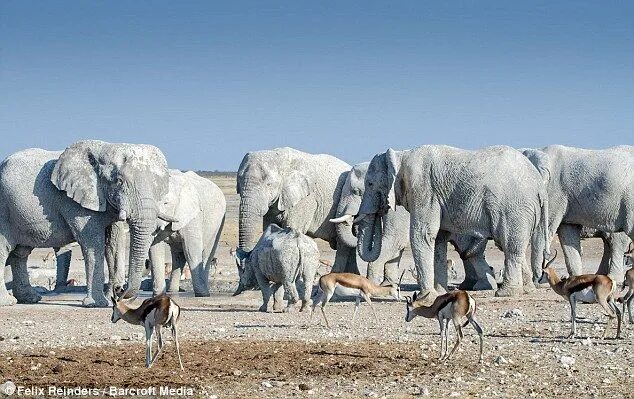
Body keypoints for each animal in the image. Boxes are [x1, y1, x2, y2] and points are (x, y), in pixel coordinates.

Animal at [0, 142, 170, 308]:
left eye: (158, 186)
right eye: (119, 181)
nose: (120, 291)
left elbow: (112, 244)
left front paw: (109, 300)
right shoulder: (74, 202)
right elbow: (93, 242)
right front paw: (97, 304)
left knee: (20, 253)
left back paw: (30, 298)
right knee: (5, 249)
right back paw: (8, 302)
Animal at [237, 148, 356, 296]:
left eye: (269, 184)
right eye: (239, 182)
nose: (244, 256)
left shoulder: (305, 199)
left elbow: (291, 227)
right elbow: (269, 227)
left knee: (342, 245)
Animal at [328, 162, 496, 290]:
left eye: (356, 191)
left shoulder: (399, 209)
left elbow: (393, 240)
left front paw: (372, 284)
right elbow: (395, 247)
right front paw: (387, 285)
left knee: (469, 250)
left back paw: (482, 286)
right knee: (467, 251)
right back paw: (470, 285)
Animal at [356, 145, 548, 298]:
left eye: (370, 184)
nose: (381, 209)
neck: (401, 154)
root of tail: (539, 185)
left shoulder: (423, 190)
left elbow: (423, 235)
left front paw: (426, 297)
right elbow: (439, 239)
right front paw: (441, 293)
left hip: (514, 209)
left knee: (510, 246)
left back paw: (506, 293)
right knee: (514, 247)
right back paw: (524, 290)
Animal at [520, 145, 632, 282]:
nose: (541, 276)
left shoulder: (553, 191)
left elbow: (541, 231)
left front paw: (537, 281)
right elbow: (567, 233)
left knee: (616, 241)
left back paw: (614, 278)